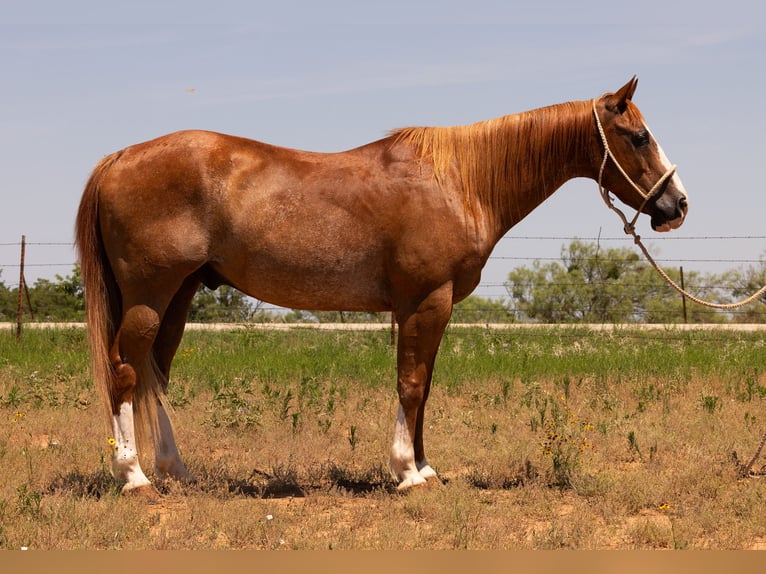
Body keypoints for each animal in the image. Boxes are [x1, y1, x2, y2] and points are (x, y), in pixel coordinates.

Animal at [76, 76, 688, 498]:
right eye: (638, 136)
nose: (677, 205)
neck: (459, 182)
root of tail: (120, 158)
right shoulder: (425, 300)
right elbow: (412, 384)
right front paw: (406, 473)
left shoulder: (433, 306)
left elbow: (425, 386)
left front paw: (425, 466)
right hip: (150, 295)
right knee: (125, 371)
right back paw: (133, 477)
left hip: (179, 294)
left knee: (154, 374)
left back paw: (174, 470)